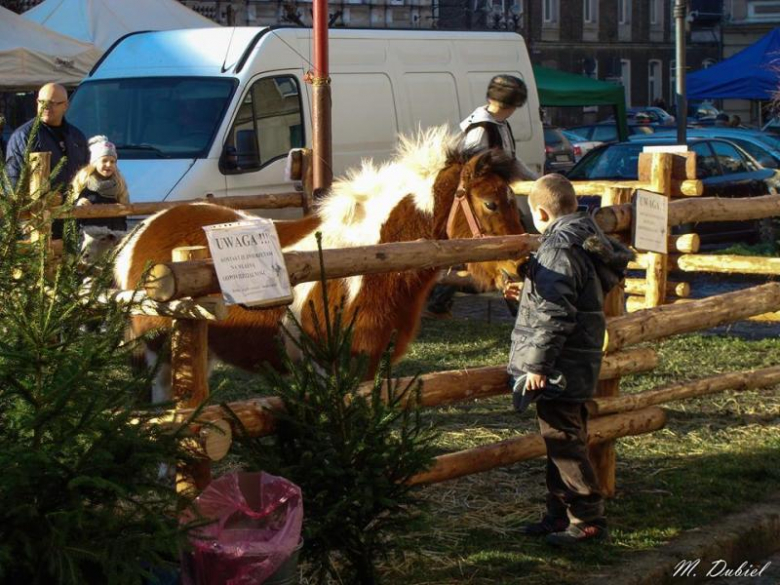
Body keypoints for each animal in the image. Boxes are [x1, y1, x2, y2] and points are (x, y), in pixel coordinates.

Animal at [114, 126, 532, 402]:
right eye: (491, 203)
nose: (520, 268)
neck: (367, 261)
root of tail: (144, 230)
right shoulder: (332, 367)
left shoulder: (369, 367)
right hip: (160, 355)